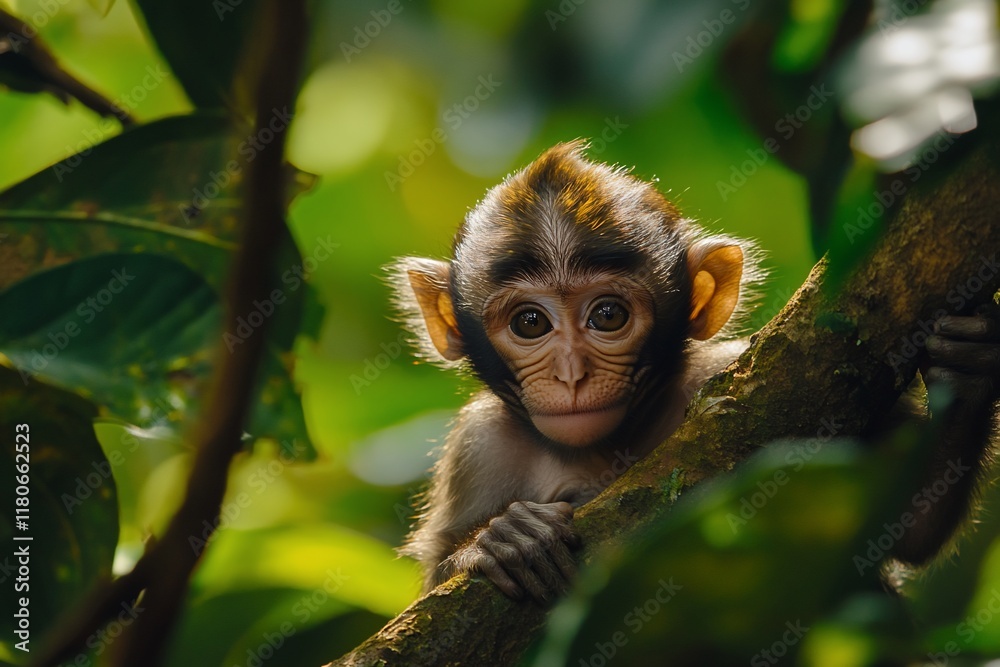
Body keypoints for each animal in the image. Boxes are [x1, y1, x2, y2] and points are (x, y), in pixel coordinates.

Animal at [390, 140, 1000, 603]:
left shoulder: (737, 370)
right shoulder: (479, 446)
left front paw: (965, 366)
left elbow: (900, 527)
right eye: (530, 323)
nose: (570, 374)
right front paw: (497, 539)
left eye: (607, 315)